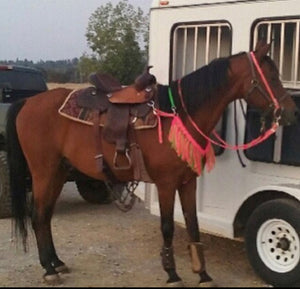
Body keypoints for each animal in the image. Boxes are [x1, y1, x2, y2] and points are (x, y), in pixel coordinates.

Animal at [5, 42, 298, 286]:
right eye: (272, 76)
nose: (291, 112)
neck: (179, 115)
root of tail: (27, 102)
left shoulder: (188, 182)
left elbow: (193, 224)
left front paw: (202, 274)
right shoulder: (166, 184)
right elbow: (167, 228)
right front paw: (172, 274)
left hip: (58, 171)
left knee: (45, 217)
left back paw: (57, 263)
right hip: (43, 172)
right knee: (38, 215)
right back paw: (48, 269)